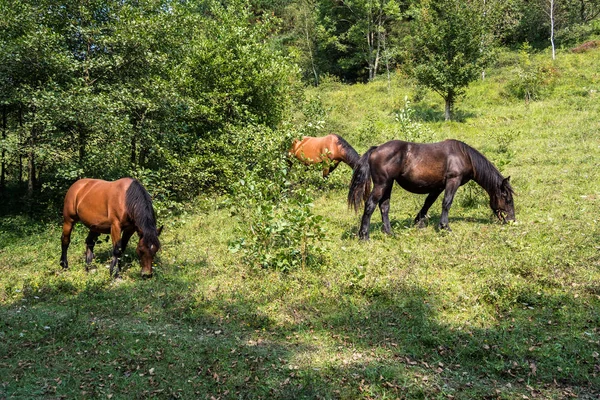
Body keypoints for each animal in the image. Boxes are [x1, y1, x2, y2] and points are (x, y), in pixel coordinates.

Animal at [346, 139, 516, 239]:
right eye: (507, 199)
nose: (512, 220)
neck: (463, 155)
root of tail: (376, 149)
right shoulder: (452, 181)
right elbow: (446, 203)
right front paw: (445, 227)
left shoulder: (438, 186)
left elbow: (428, 203)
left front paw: (419, 222)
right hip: (381, 184)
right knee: (370, 205)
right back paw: (364, 235)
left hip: (388, 184)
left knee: (384, 206)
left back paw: (389, 233)